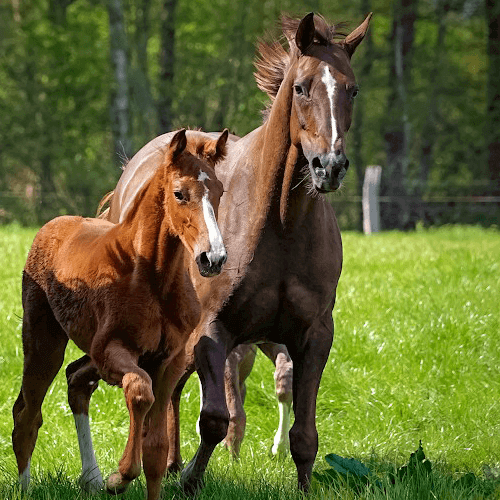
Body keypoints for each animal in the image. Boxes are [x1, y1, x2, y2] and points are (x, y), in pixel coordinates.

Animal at [12, 130, 227, 500]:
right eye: (179, 193)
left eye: (220, 191)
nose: (212, 258)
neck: (153, 277)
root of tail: (52, 225)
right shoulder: (110, 350)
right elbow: (139, 391)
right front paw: (120, 477)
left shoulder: (169, 360)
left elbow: (157, 449)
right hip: (43, 342)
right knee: (28, 414)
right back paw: (29, 487)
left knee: (69, 387)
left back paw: (89, 478)